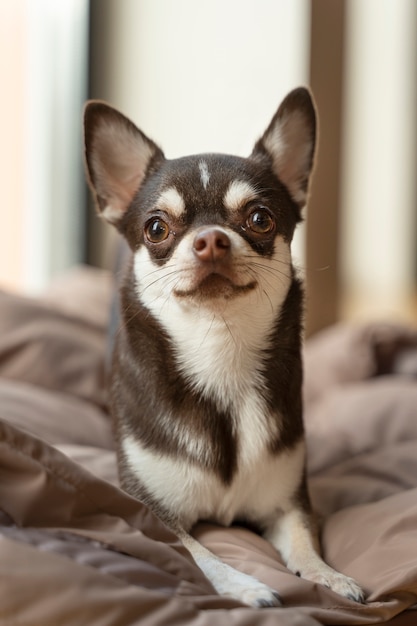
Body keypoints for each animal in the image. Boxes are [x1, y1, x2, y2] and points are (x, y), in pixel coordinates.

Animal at [83, 88, 362, 604]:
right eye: (156, 228)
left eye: (259, 219)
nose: (211, 239)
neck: (220, 356)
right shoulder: (150, 512)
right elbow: (200, 555)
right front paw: (248, 586)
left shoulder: (287, 502)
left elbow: (305, 540)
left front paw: (329, 576)